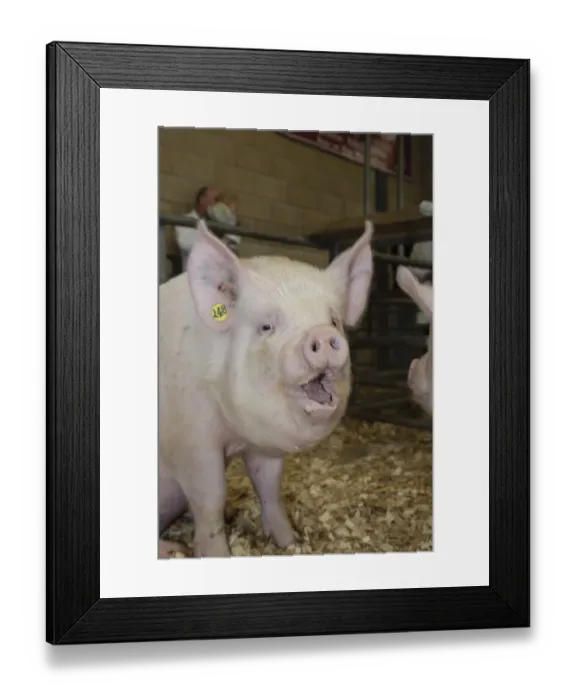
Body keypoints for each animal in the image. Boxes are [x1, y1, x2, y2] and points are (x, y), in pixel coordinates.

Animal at [158, 219, 374, 557]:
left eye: (334, 321)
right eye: (267, 326)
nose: (322, 334)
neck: (237, 435)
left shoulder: (264, 447)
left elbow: (269, 487)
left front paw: (291, 542)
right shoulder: (189, 438)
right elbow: (211, 498)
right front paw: (218, 556)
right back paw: (170, 550)